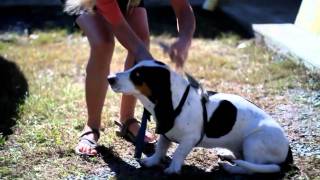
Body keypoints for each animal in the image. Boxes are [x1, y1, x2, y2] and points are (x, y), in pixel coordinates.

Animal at [107, 60, 292, 174]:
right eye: (133, 68)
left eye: (138, 75)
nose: (109, 78)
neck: (178, 101)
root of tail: (288, 153)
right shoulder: (165, 135)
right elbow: (160, 149)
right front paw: (152, 161)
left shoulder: (190, 138)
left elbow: (178, 153)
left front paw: (173, 169)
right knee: (242, 159)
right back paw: (227, 155)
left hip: (252, 142)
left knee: (249, 168)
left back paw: (229, 167)